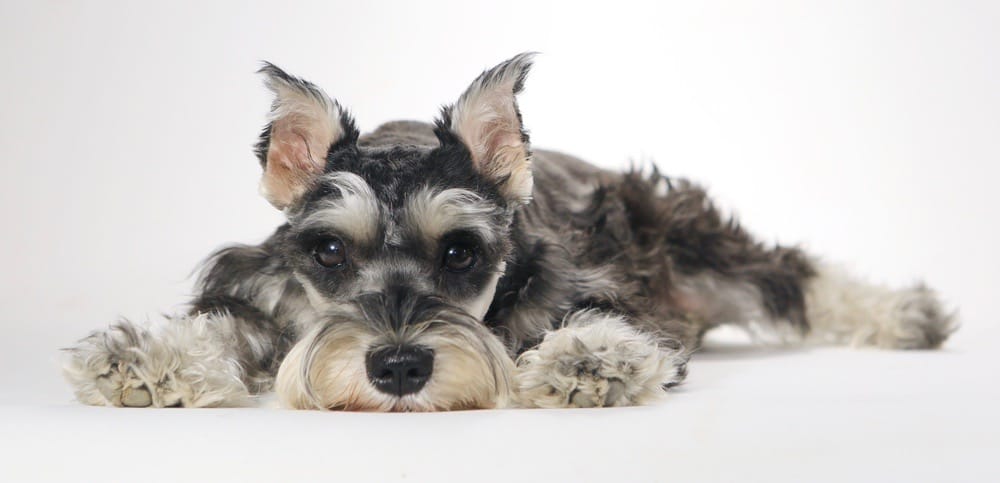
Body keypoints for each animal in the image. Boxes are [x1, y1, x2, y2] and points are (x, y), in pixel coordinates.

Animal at [58, 54, 956, 412]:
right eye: (329, 249)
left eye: (461, 251)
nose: (398, 368)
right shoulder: (267, 292)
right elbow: (227, 326)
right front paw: (146, 359)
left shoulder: (593, 283)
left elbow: (605, 324)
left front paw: (587, 359)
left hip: (694, 240)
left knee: (795, 273)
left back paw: (908, 314)